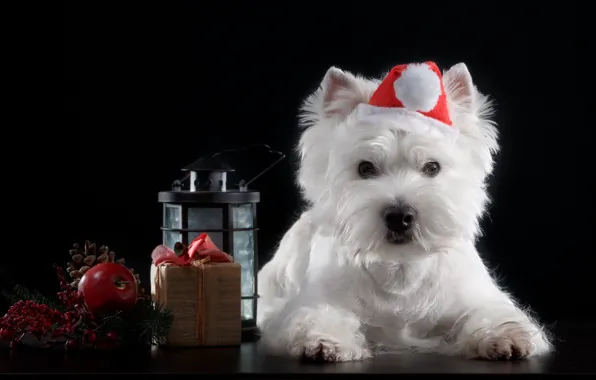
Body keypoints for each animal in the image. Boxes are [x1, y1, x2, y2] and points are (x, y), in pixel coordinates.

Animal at [256, 60, 556, 362]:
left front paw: (506, 337)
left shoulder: (476, 296)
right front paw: (324, 341)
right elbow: (317, 315)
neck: (401, 270)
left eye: (432, 167)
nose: (399, 217)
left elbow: (490, 314)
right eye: (365, 168)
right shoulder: (314, 300)